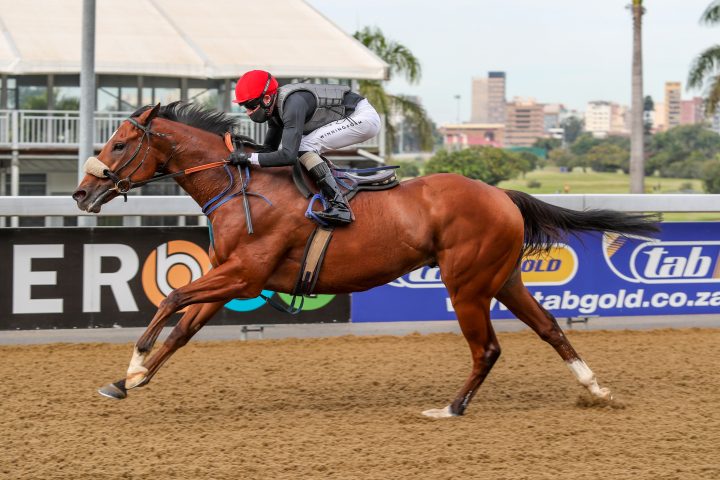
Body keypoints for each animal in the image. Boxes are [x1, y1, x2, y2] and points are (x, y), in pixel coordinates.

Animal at [73, 103, 660, 418]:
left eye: (120, 143)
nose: (82, 193)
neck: (238, 186)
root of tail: (501, 194)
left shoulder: (243, 275)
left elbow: (171, 297)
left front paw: (133, 365)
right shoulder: (231, 279)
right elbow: (181, 330)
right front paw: (129, 380)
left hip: (467, 284)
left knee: (488, 348)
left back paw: (450, 408)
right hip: (504, 278)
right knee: (550, 328)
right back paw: (595, 389)